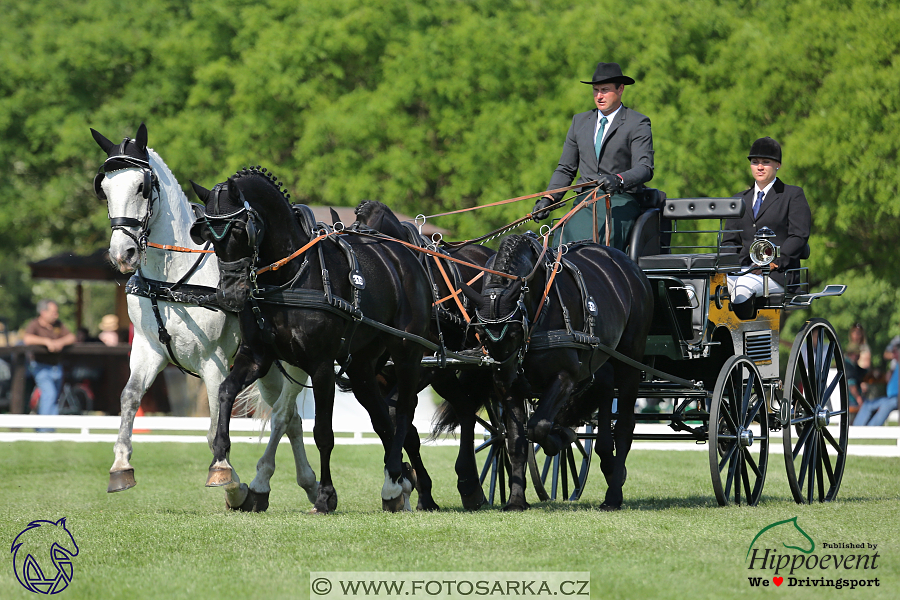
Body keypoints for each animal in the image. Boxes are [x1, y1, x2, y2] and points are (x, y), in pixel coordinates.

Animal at [91, 123, 316, 510]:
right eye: (104, 188)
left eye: (142, 187)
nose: (123, 254)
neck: (173, 279)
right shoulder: (148, 350)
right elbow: (129, 397)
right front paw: (121, 466)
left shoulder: (214, 359)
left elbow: (214, 426)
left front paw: (227, 477)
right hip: (269, 366)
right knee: (292, 421)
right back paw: (309, 486)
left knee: (286, 415)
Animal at [188, 168, 434, 510]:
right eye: (207, 235)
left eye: (238, 230)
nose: (229, 295)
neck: (288, 277)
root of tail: (404, 254)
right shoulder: (257, 356)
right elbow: (226, 392)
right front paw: (221, 464)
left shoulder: (320, 366)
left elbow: (323, 432)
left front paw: (326, 494)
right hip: (361, 365)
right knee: (382, 417)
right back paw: (394, 485)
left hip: (407, 352)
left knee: (405, 410)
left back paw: (399, 474)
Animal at [352, 200, 496, 506]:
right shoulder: (383, 376)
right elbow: (397, 425)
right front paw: (418, 488)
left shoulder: (422, 365)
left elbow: (398, 417)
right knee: (465, 407)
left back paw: (473, 483)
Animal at [460, 234, 652, 510]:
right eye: (481, 334)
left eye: (515, 332)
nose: (505, 375)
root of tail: (631, 267)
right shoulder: (509, 388)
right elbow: (516, 440)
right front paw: (516, 500)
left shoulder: (566, 376)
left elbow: (538, 426)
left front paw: (561, 435)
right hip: (602, 358)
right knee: (605, 390)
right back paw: (609, 462)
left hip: (630, 360)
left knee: (625, 425)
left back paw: (613, 495)